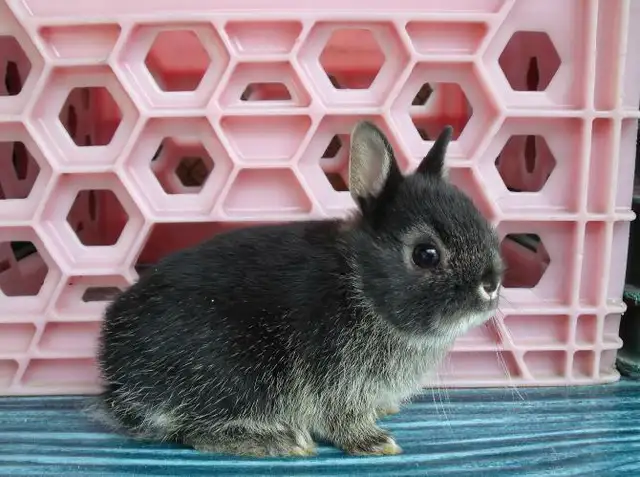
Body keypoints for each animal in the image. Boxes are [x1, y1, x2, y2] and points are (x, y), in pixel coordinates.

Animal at [97, 121, 503, 457]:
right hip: (238, 375)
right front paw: (373, 441)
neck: (359, 283)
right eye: (425, 254)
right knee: (193, 430)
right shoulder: (337, 379)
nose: (492, 284)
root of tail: (113, 362)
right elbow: (341, 418)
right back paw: (280, 441)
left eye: (481, 221)